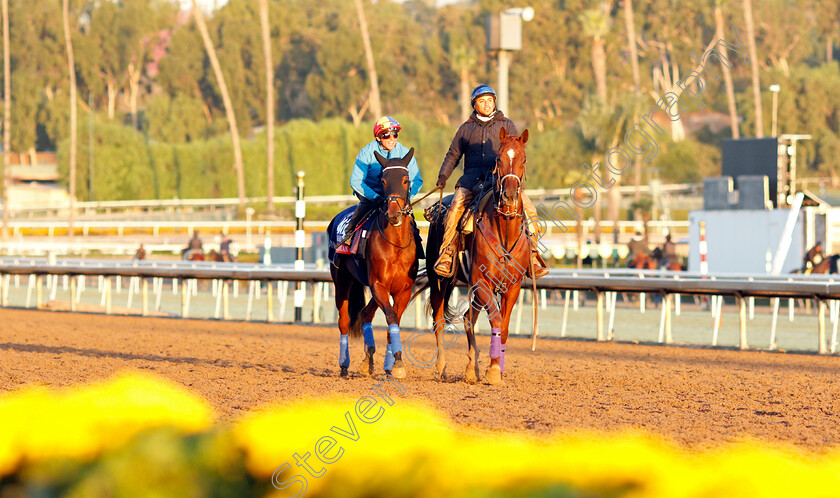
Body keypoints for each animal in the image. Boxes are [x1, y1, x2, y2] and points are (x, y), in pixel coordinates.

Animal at [330, 148, 418, 378]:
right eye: (383, 181)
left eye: (406, 180)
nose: (394, 213)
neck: (396, 245)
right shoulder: (378, 284)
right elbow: (391, 317)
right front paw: (397, 362)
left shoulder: (403, 289)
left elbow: (394, 319)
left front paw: (392, 365)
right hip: (341, 281)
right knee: (344, 321)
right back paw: (344, 363)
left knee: (365, 313)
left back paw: (368, 359)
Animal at [426, 127, 532, 386]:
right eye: (499, 159)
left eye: (523, 160)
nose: (510, 195)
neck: (504, 232)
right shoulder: (481, 281)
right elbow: (495, 320)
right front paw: (493, 370)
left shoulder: (512, 286)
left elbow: (504, 326)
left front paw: (497, 368)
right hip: (439, 281)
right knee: (439, 320)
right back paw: (442, 368)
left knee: (468, 319)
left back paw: (471, 370)